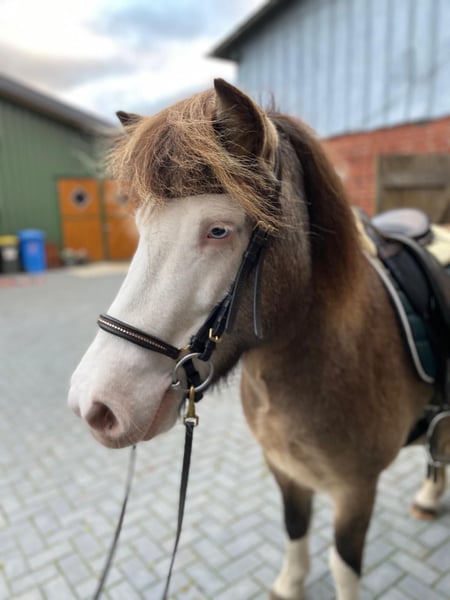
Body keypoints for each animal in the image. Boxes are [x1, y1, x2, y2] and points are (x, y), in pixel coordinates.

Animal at [68, 79, 448, 600]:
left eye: (218, 230)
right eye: (141, 228)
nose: (95, 404)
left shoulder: (356, 490)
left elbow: (344, 566)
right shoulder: (284, 470)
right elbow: (294, 527)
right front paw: (290, 584)